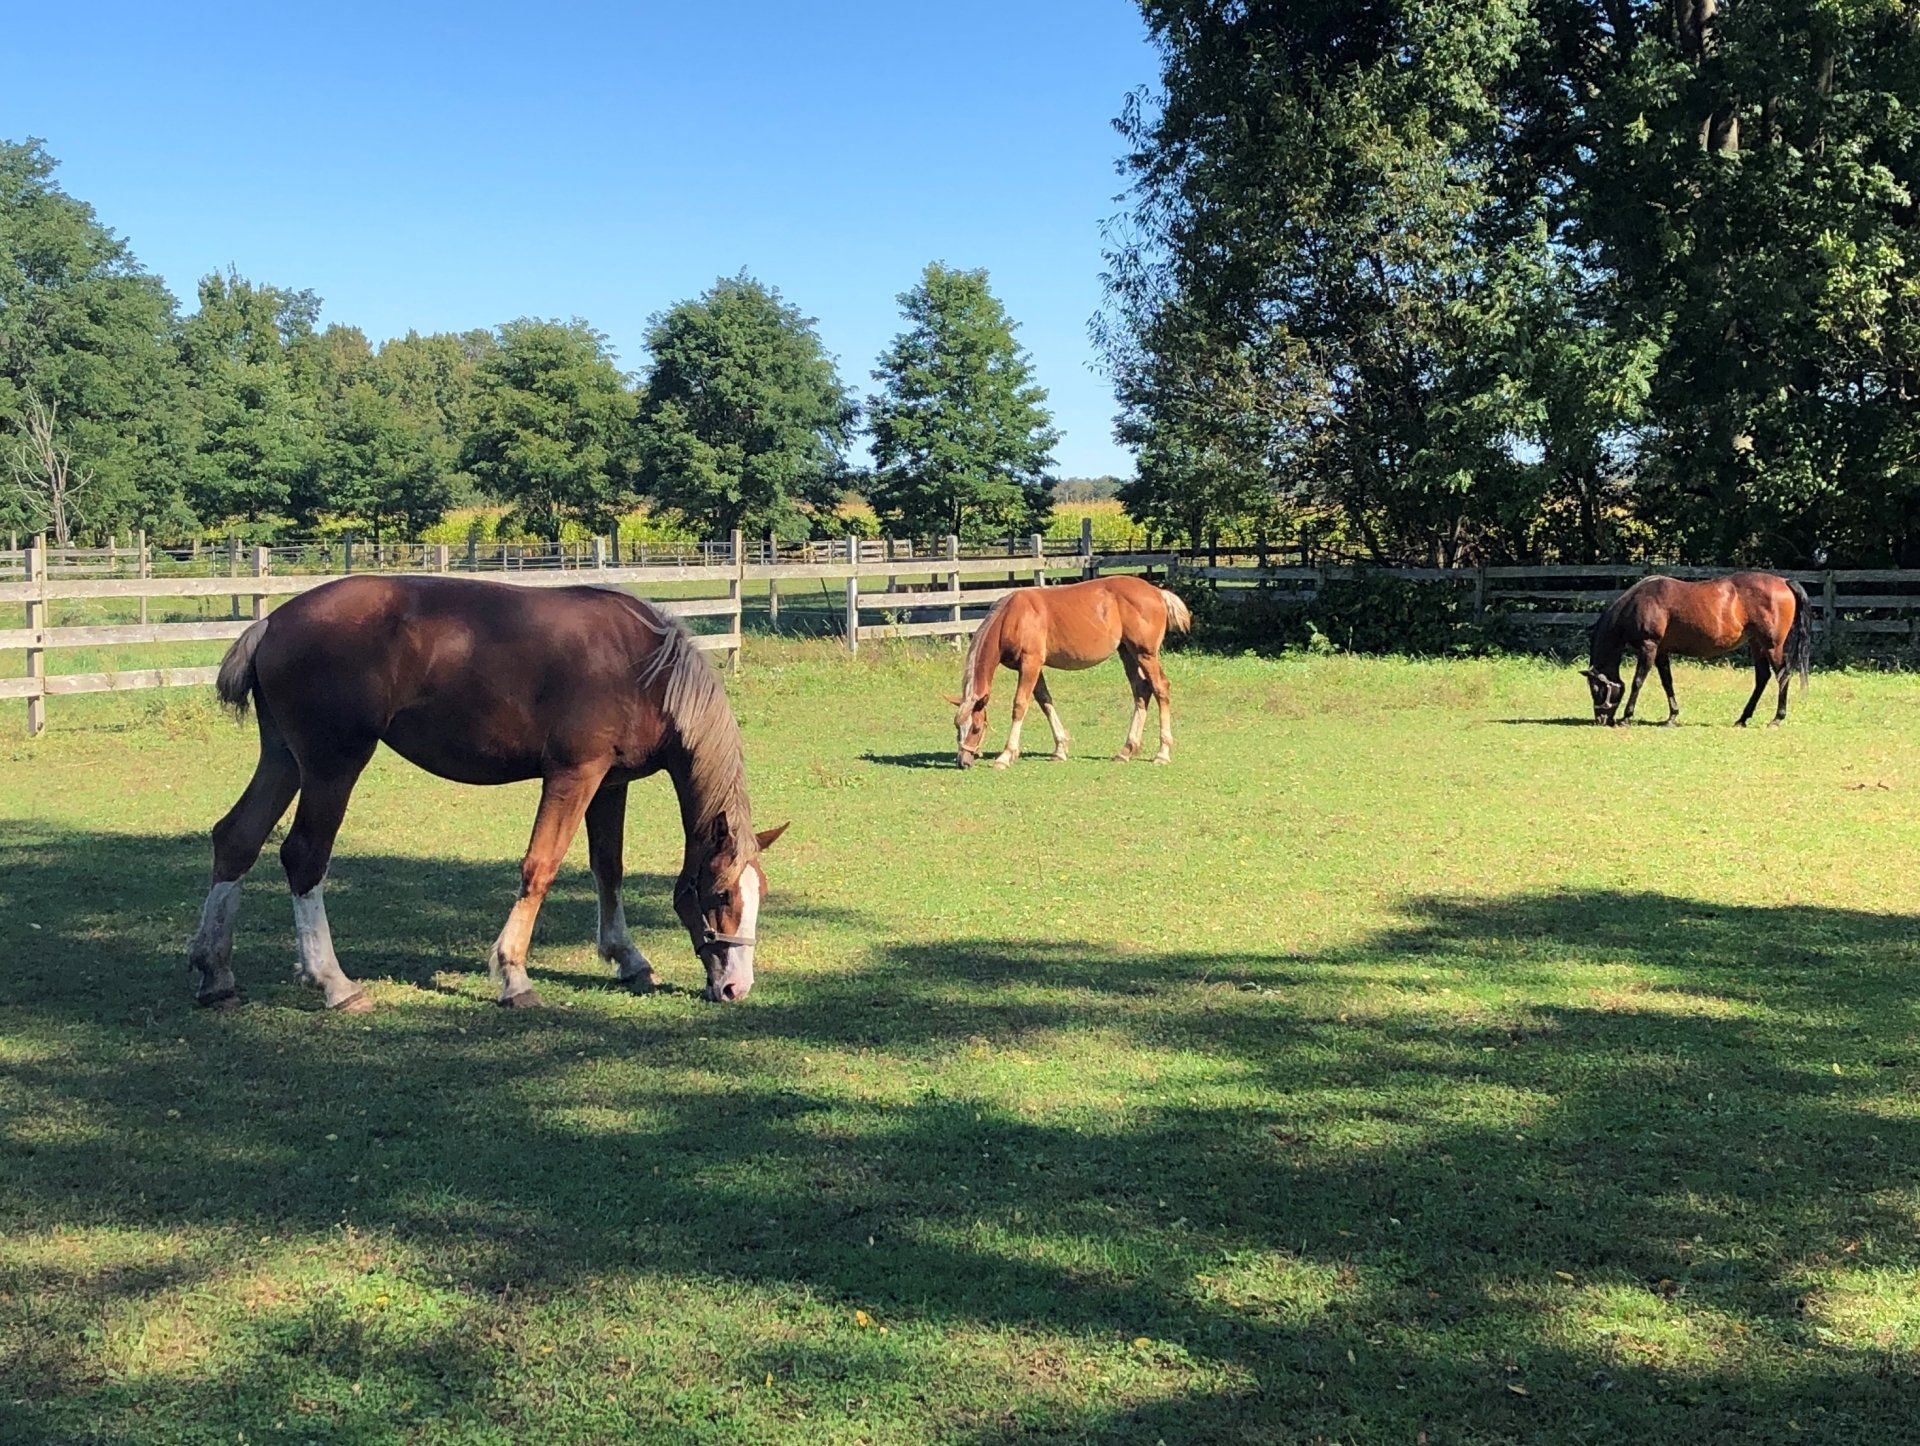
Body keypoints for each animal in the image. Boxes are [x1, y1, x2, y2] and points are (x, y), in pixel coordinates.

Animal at [188, 574, 787, 1013]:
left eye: (756, 895)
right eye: (721, 896)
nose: (736, 987)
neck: (644, 668)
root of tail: (271, 622)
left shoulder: (608, 784)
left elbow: (608, 868)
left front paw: (628, 957)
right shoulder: (572, 776)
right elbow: (541, 867)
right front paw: (514, 976)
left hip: (284, 760)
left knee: (236, 839)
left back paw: (216, 972)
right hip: (332, 766)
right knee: (304, 857)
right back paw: (334, 983)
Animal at [945, 574, 1192, 768]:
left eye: (976, 728)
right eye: (957, 726)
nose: (963, 762)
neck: (1012, 617)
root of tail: (1157, 592)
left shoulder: (1030, 663)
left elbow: (1020, 705)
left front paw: (1006, 756)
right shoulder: (1033, 667)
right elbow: (1045, 701)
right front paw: (1060, 749)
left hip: (1145, 654)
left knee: (1160, 688)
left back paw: (1162, 753)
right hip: (1127, 653)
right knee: (1141, 691)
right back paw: (1126, 751)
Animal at [1581, 571, 1813, 727]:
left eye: (1595, 689)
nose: (1600, 718)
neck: (1637, 603)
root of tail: (1784, 581)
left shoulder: (1649, 647)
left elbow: (1637, 681)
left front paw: (1626, 716)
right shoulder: (1661, 652)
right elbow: (1667, 682)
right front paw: (1672, 716)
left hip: (1772, 646)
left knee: (1782, 676)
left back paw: (1777, 719)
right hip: (1757, 643)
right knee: (1763, 677)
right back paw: (1742, 718)